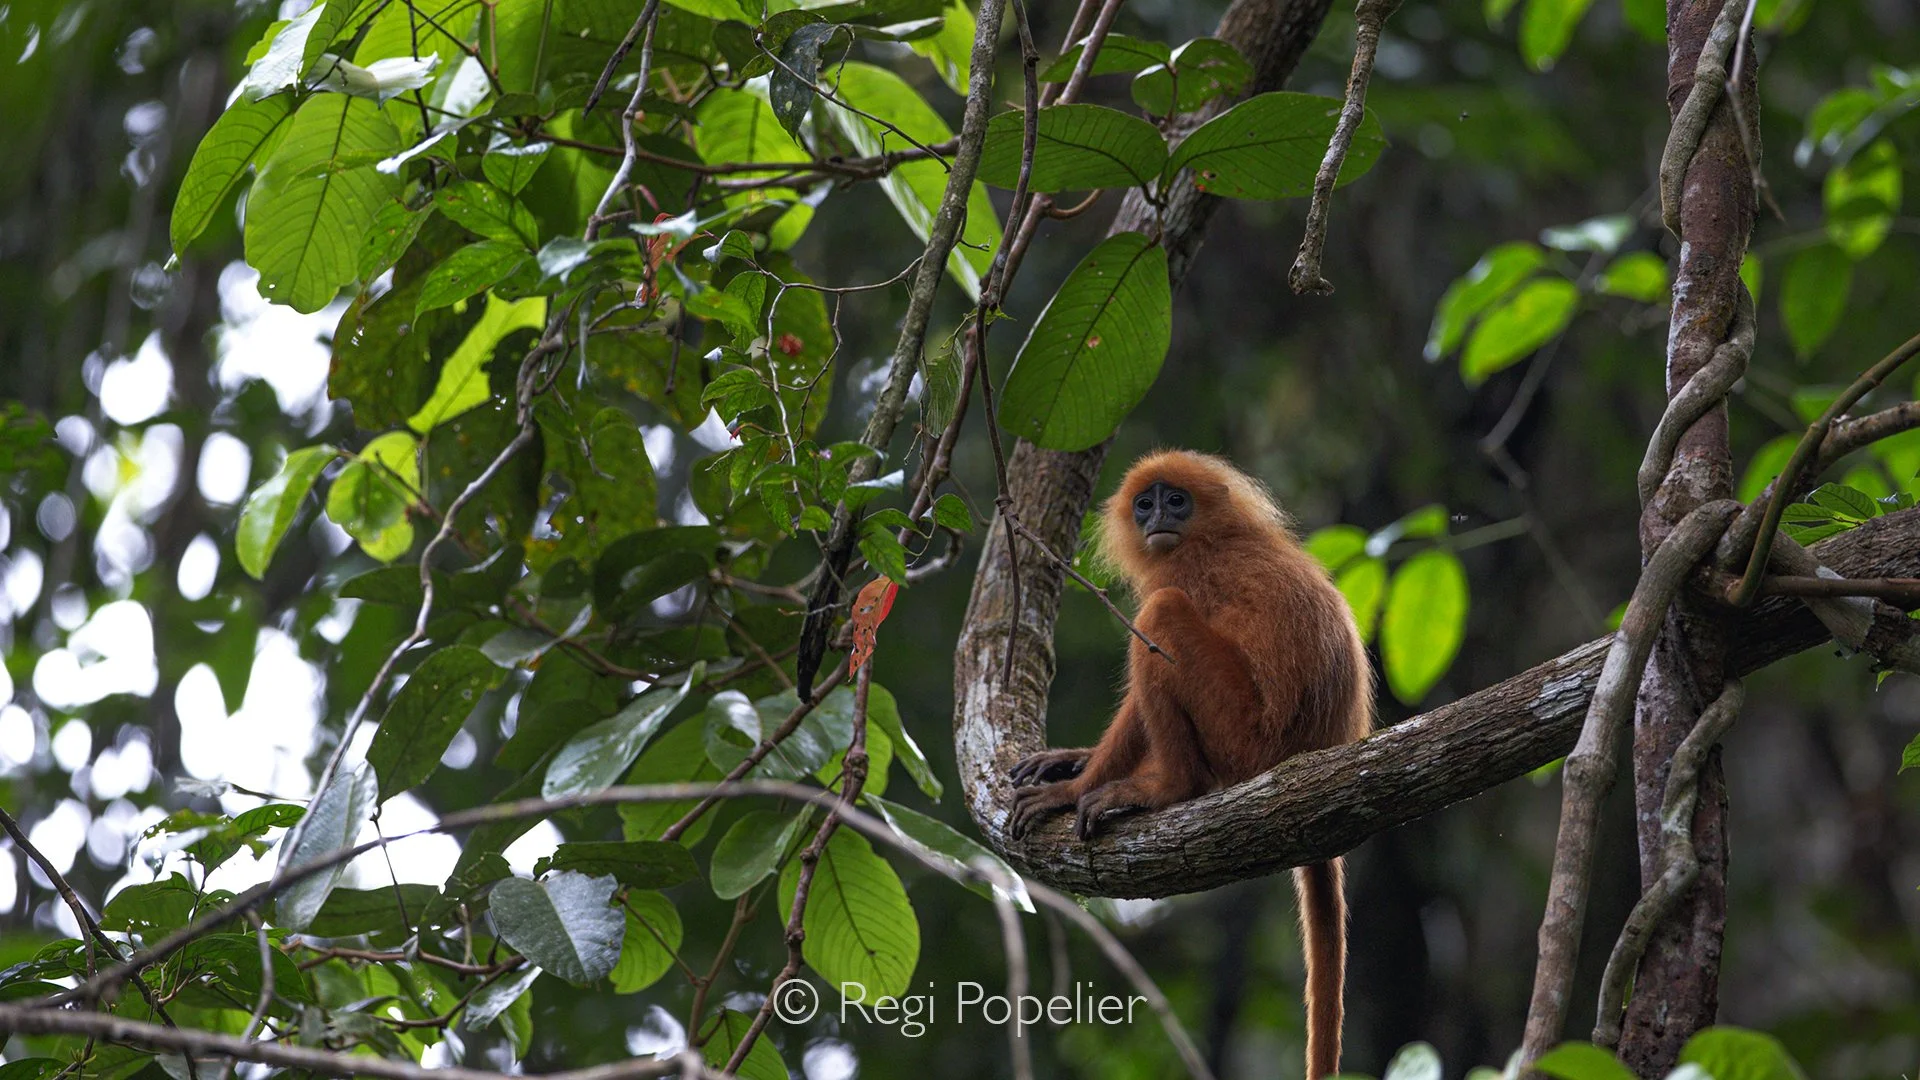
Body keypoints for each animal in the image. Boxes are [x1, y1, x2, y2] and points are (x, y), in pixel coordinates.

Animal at [1006, 449, 1373, 1080]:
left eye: (1175, 501)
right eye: (1144, 503)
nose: (1157, 517)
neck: (1218, 537)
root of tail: (1313, 751)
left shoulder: (1188, 573)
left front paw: (1072, 787)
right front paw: (1072, 762)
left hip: (1245, 737)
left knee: (1161, 615)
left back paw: (1166, 787)